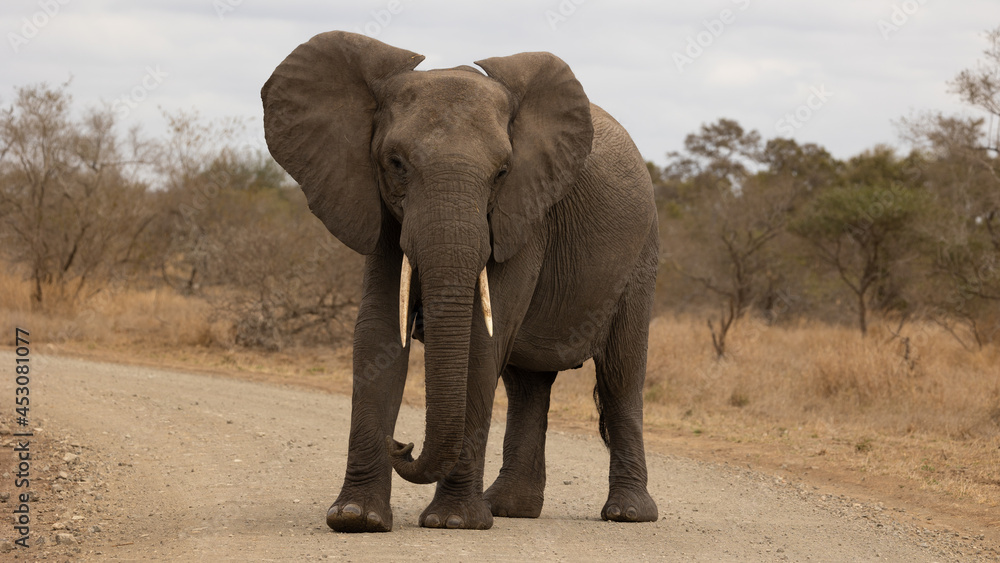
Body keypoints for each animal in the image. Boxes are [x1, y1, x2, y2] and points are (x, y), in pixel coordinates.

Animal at [261, 31, 659, 532]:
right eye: (395, 162)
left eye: (503, 172)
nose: (402, 443)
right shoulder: (378, 206)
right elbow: (378, 332)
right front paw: (355, 518)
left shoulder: (525, 213)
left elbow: (480, 336)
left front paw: (453, 522)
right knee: (527, 386)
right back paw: (509, 509)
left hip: (641, 255)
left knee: (621, 374)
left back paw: (628, 514)